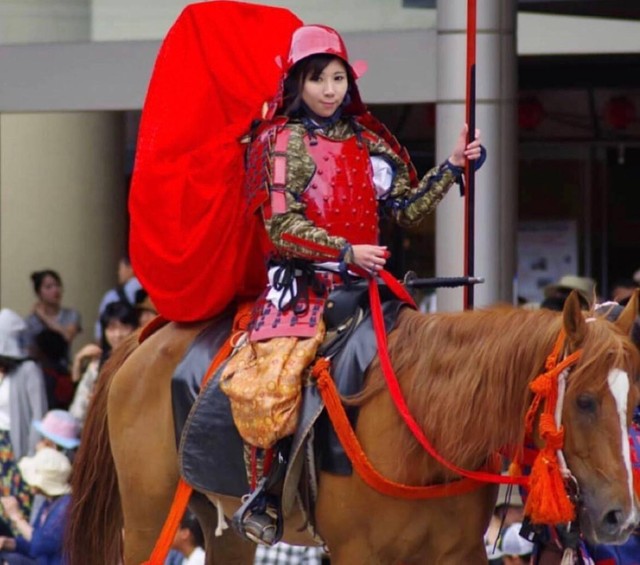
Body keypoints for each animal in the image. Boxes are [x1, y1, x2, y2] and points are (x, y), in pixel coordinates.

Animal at [67, 290, 640, 564]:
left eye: (632, 404)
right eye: (585, 401)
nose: (620, 517)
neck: (422, 433)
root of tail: (145, 340)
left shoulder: (458, 552)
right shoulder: (357, 553)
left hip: (219, 520)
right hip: (148, 516)